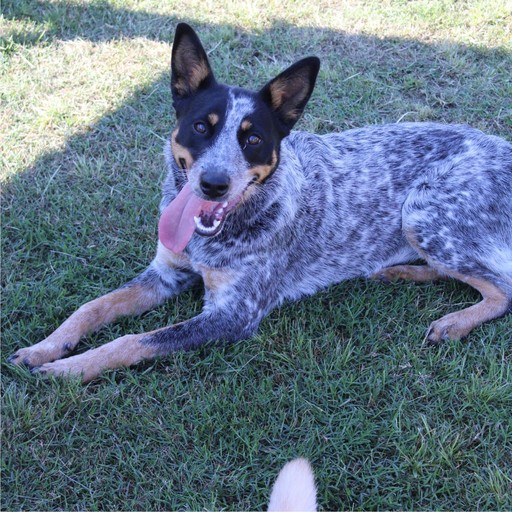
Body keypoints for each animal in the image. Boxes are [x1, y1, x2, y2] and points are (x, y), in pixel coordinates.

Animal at [8, 25, 512, 384]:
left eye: (252, 139)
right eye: (200, 126)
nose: (213, 184)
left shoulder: (233, 314)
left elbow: (132, 341)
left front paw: (68, 369)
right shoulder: (165, 274)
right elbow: (91, 308)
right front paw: (43, 349)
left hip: (421, 211)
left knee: (502, 288)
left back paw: (454, 321)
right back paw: (401, 271)